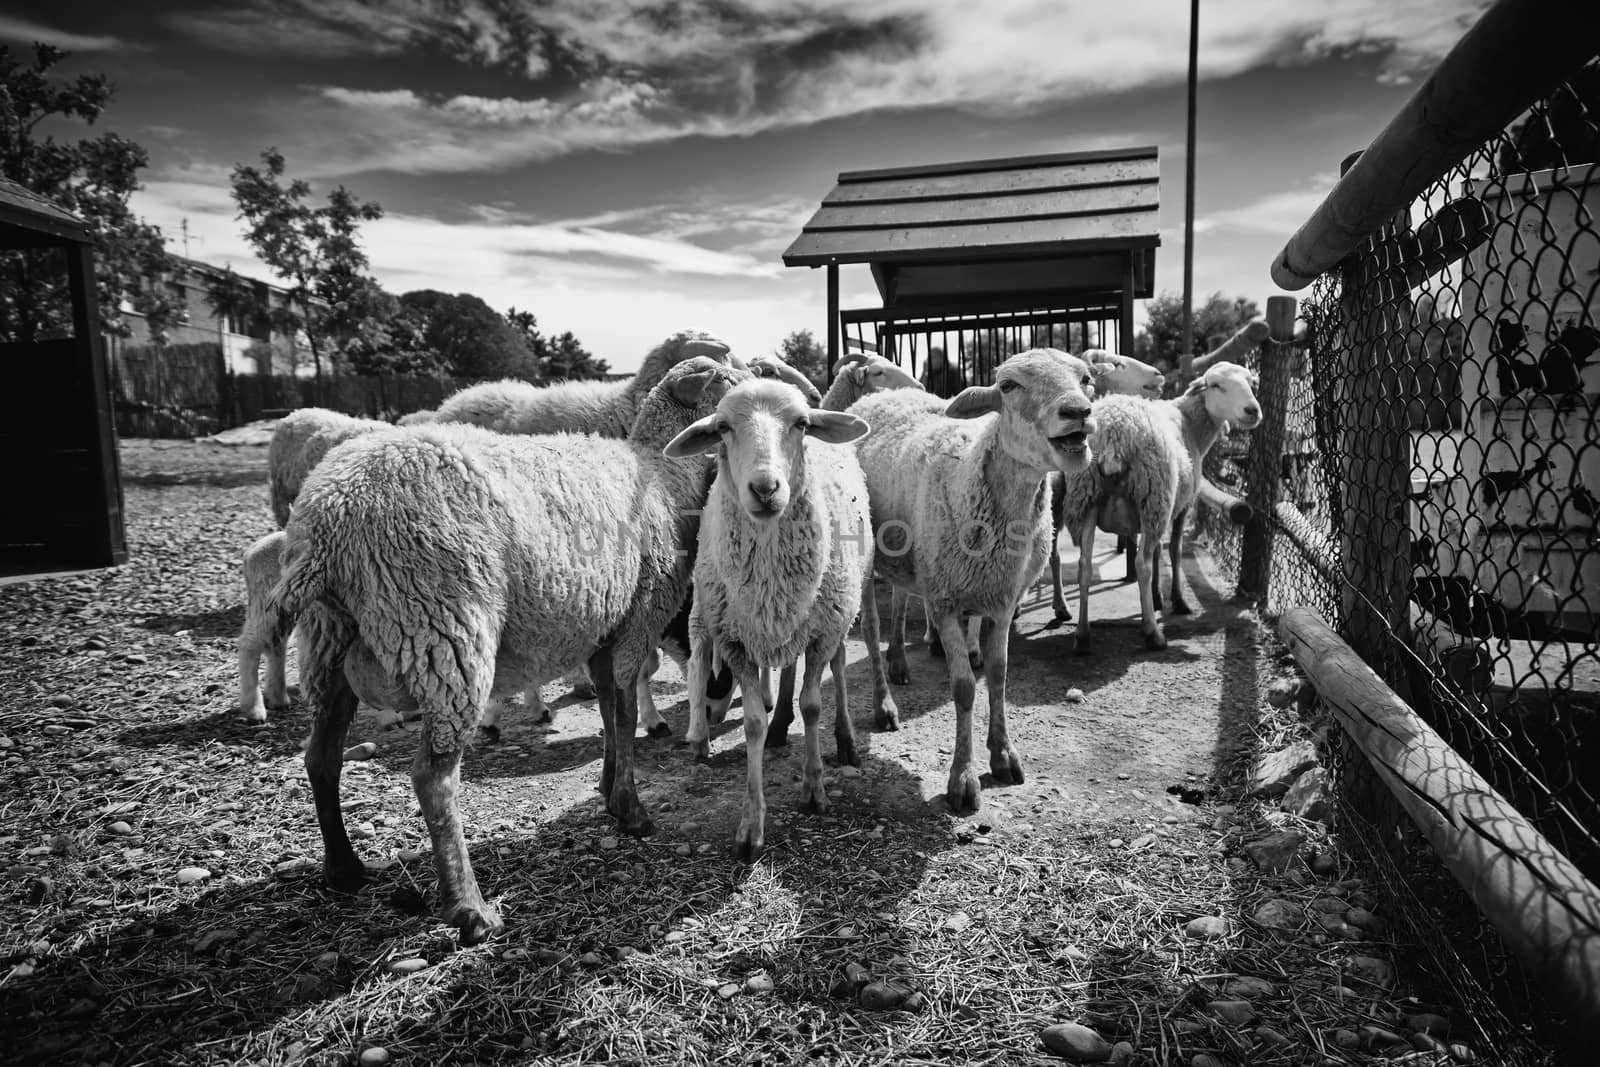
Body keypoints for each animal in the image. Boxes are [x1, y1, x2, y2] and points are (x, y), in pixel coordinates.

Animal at [265, 358, 752, 940]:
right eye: (733, 390)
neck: (660, 473)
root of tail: (326, 523)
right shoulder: (637, 619)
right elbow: (627, 709)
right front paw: (631, 810)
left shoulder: (602, 627)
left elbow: (609, 711)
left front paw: (609, 785)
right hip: (443, 630)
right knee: (433, 778)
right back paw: (469, 909)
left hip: (328, 645)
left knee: (321, 757)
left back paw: (344, 870)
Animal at [668, 379, 883, 857]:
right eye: (723, 427)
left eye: (801, 424)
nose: (765, 488)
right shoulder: (735, 640)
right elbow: (751, 724)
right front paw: (751, 824)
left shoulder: (823, 631)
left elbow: (813, 704)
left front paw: (814, 789)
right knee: (759, 665)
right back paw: (764, 724)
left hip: (844, 604)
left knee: (840, 667)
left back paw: (844, 739)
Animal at [851, 348, 1100, 809]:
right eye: (1008, 385)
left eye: (1087, 379)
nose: (1078, 412)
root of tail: (879, 397)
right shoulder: (945, 602)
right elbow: (965, 687)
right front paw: (963, 778)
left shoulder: (1002, 600)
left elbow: (998, 676)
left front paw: (1003, 754)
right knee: (873, 628)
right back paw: (884, 704)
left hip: (911, 557)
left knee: (900, 599)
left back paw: (899, 661)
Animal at [1056, 361, 1267, 652]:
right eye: (1216, 385)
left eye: (1251, 383)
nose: (1252, 411)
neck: (1190, 424)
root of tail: (1114, 433)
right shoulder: (1180, 505)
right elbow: (1174, 551)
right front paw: (1177, 601)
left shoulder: (1163, 508)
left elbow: (1157, 552)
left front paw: (1156, 597)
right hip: (1152, 494)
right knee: (1140, 565)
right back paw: (1153, 634)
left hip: (1087, 497)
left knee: (1084, 567)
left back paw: (1082, 636)